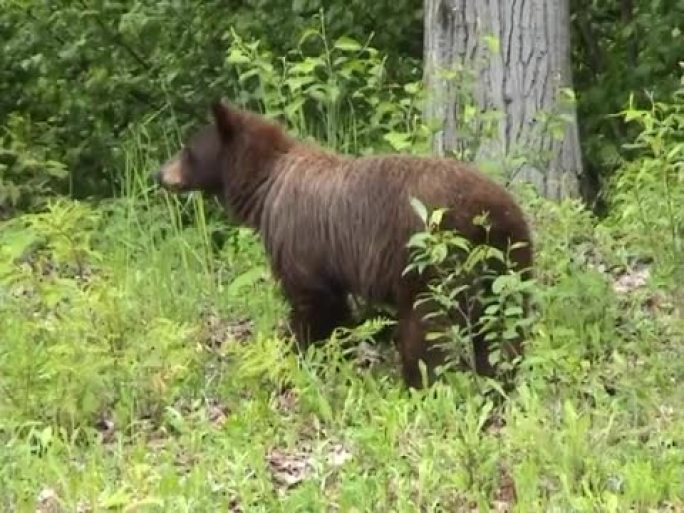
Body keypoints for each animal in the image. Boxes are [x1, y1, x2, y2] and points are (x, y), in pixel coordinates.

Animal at [155, 100, 536, 388]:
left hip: (428, 262)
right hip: (509, 259)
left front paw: (297, 355)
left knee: (426, 326)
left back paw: (419, 382)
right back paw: (501, 376)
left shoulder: (298, 240)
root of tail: (489, 213)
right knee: (505, 322)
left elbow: (313, 304)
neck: (266, 184)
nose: (158, 174)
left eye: (187, 149)